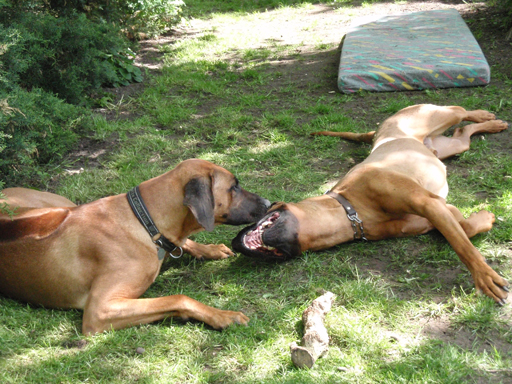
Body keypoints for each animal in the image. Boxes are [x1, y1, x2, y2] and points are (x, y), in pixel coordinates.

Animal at [0, 159, 270, 332]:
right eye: (233, 187)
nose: (268, 202)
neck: (144, 220)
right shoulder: (100, 310)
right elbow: (179, 298)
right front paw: (223, 315)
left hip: (61, 204)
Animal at [234, 103, 510, 304]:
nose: (234, 241)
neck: (351, 210)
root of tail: (378, 132)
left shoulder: (428, 203)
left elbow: (463, 246)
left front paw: (485, 277)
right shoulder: (438, 210)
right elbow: (465, 230)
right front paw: (485, 219)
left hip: (436, 116)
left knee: (461, 111)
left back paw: (486, 116)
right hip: (453, 146)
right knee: (464, 132)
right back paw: (492, 124)